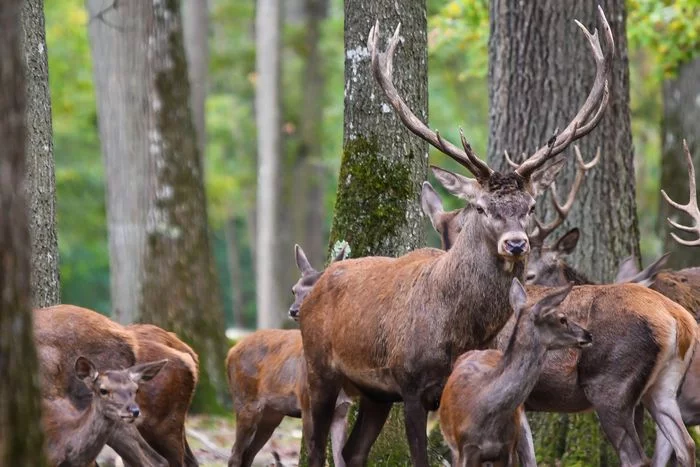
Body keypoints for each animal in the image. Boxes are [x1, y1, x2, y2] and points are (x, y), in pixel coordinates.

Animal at [225, 244, 351, 467]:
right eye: (294, 290)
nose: (294, 310)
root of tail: (231, 351)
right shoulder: (307, 403)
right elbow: (315, 455)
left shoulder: (342, 411)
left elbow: (341, 460)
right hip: (245, 401)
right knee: (235, 454)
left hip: (272, 414)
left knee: (248, 454)